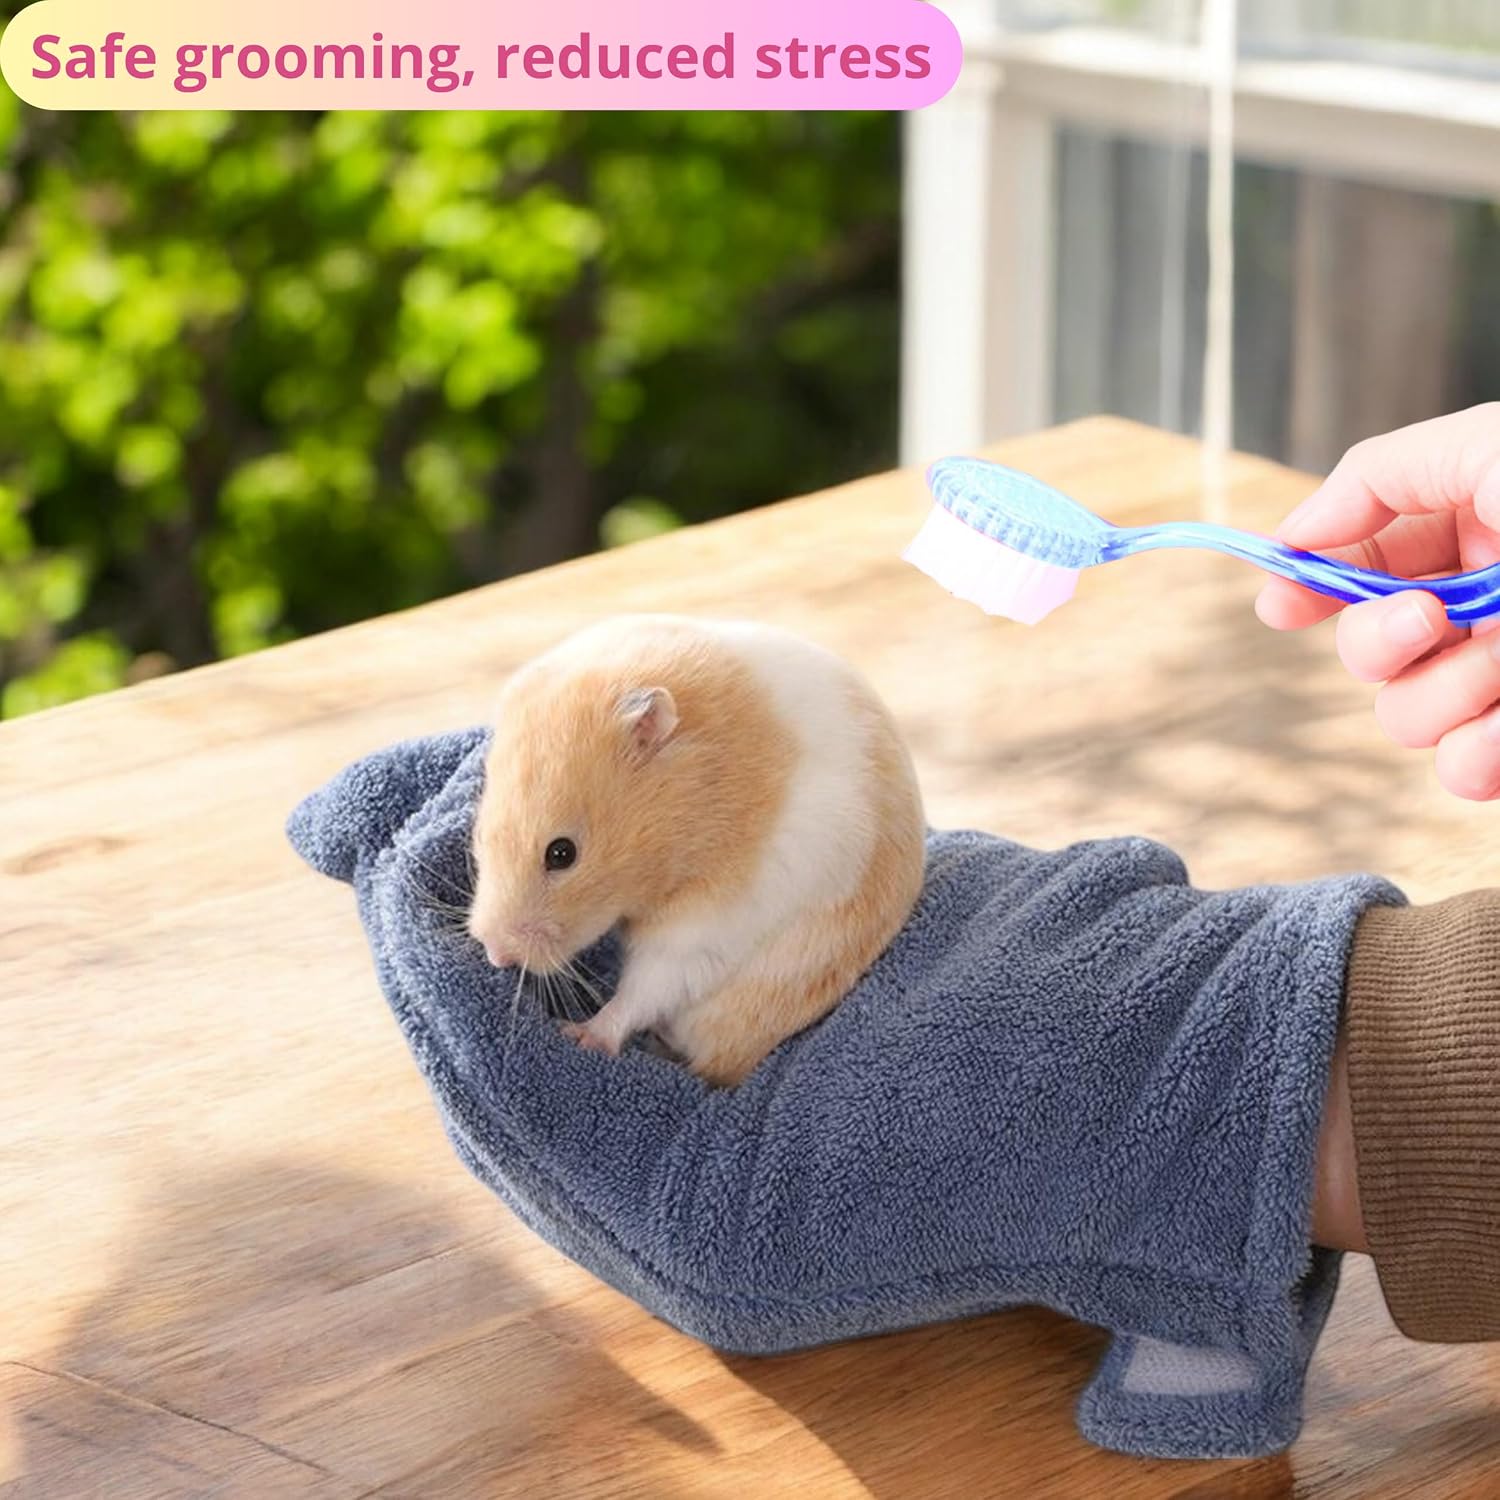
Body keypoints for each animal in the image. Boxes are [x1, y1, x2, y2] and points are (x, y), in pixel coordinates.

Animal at [467, 614, 926, 1086]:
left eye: (562, 854)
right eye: (480, 832)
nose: (496, 956)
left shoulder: (710, 930)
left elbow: (642, 990)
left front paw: (580, 1035)